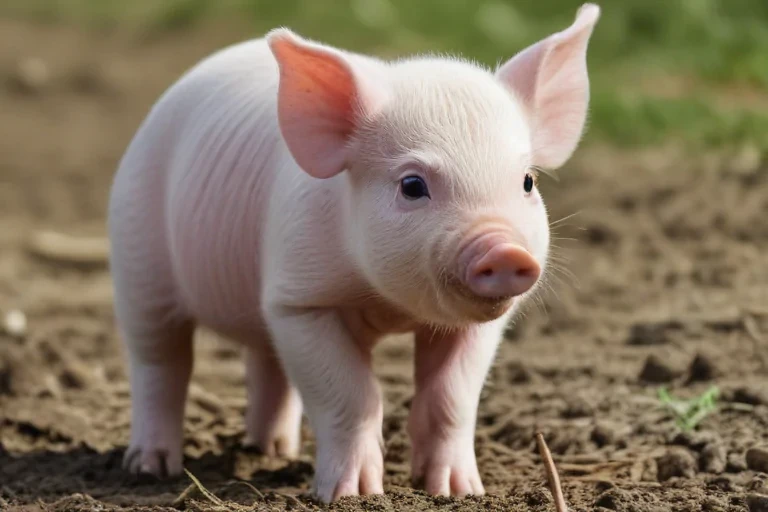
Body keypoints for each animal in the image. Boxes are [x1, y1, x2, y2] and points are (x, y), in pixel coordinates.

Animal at [107, 3, 600, 502]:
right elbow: (352, 395)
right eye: (412, 185)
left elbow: (451, 399)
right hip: (137, 258)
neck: (385, 306)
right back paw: (150, 468)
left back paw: (273, 451)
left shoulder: (476, 327)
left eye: (527, 181)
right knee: (160, 364)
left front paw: (458, 492)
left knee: (265, 362)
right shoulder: (300, 301)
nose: (505, 250)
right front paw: (354, 496)